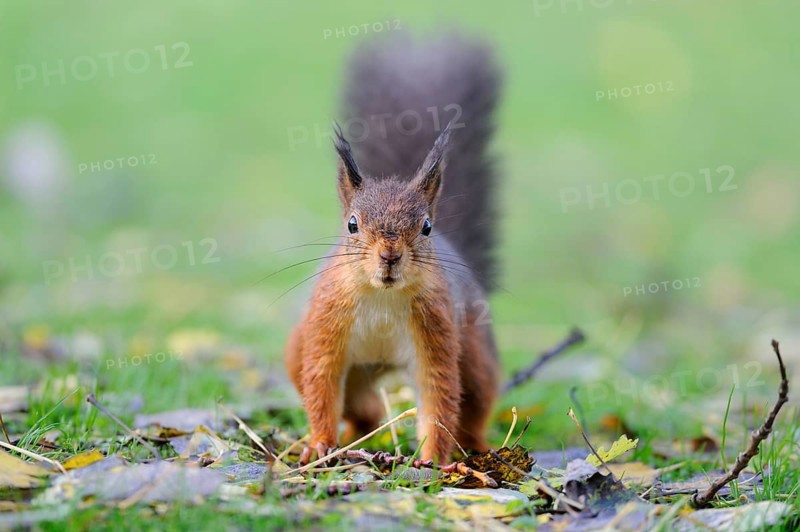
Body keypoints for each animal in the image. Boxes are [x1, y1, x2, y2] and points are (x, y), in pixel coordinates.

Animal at [285, 34, 502, 464]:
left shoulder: (435, 331)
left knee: (473, 405)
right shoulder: (325, 324)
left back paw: (477, 448)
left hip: (474, 352)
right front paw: (319, 443)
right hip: (306, 355)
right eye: (352, 224)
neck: (382, 297)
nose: (389, 256)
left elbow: (439, 396)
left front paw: (432, 459)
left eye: (426, 227)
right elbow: (321, 383)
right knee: (364, 411)